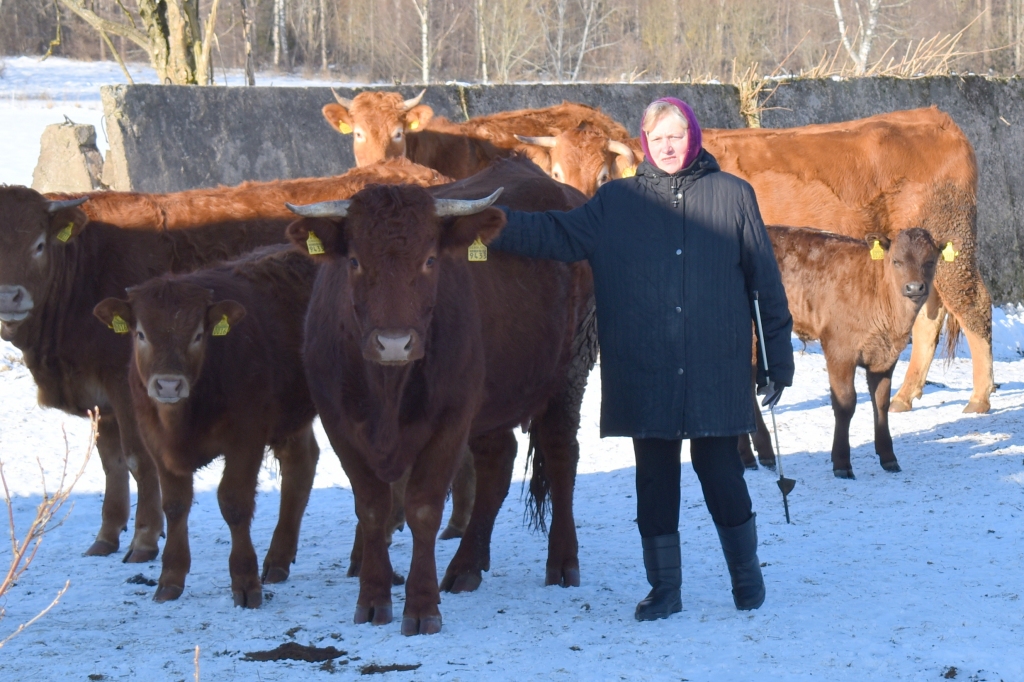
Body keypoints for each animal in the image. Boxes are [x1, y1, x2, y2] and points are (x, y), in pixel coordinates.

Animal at [0, 161, 450, 561]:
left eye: (38, 245)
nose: (10, 296)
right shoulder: (101, 397)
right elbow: (111, 464)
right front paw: (107, 535)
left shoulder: (126, 390)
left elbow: (138, 462)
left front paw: (144, 539)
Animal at [96, 245, 321, 606]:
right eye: (141, 333)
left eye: (198, 335)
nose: (168, 385)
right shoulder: (156, 443)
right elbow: (175, 505)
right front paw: (170, 578)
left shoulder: (246, 438)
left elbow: (234, 503)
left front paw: (244, 581)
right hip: (292, 419)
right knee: (301, 466)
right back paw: (278, 560)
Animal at [286, 156, 593, 634]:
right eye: (354, 261)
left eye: (430, 260)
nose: (394, 343)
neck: (387, 390)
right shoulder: (339, 424)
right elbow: (371, 507)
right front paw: (373, 599)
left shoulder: (449, 421)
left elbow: (424, 509)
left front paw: (421, 607)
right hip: (490, 399)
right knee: (497, 463)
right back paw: (467, 565)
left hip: (570, 370)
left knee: (562, 455)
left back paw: (562, 561)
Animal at [753, 225, 937, 475]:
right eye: (896, 261)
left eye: (930, 260)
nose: (914, 287)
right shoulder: (839, 350)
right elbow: (845, 404)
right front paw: (841, 462)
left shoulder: (885, 357)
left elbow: (881, 403)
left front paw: (888, 456)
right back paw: (764, 452)